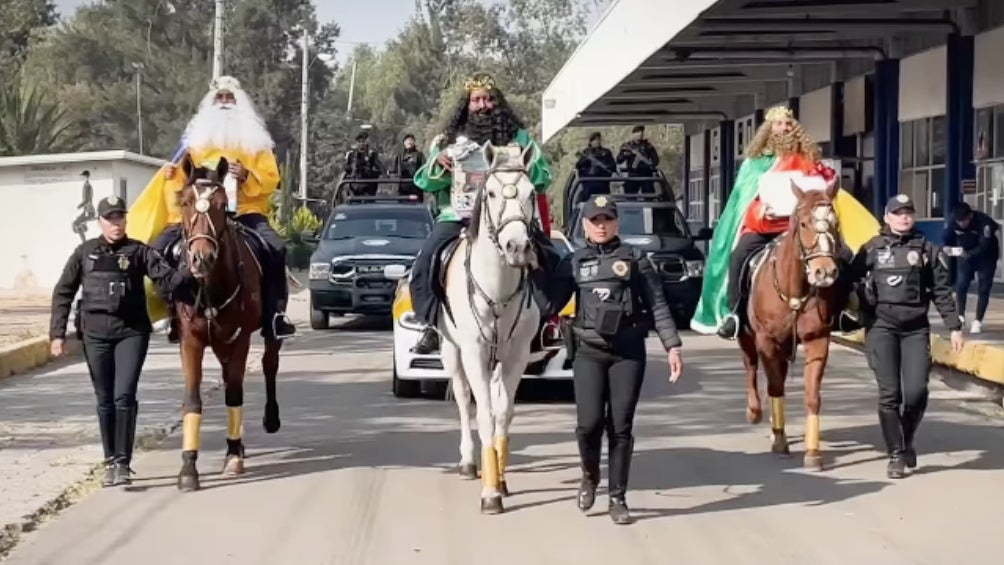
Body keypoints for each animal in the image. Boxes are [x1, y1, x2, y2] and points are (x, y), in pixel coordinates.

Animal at [173, 154, 281, 491]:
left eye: (222, 204)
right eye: (184, 202)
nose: (201, 259)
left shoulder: (240, 338)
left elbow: (234, 392)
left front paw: (233, 456)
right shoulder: (191, 341)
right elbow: (192, 401)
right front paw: (188, 468)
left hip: (265, 333)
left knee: (269, 364)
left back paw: (269, 420)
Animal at [441, 140, 546, 513]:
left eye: (531, 192)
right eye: (490, 192)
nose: (517, 247)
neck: (497, 289)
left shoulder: (517, 354)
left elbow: (503, 413)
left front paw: (500, 479)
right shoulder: (473, 352)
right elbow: (483, 413)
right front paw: (489, 493)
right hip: (451, 350)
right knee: (462, 398)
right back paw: (468, 462)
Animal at [738, 181, 847, 473]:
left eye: (835, 223)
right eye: (804, 223)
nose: (825, 272)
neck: (794, 289)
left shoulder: (817, 339)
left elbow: (812, 395)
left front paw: (813, 453)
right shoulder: (767, 341)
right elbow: (775, 388)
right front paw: (779, 442)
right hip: (748, 337)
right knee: (751, 366)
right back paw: (754, 412)